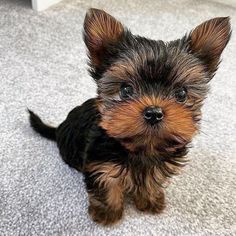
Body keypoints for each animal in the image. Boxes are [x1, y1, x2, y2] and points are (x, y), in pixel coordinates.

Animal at [28, 7, 231, 225]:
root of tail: (59, 127)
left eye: (181, 94)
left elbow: (152, 179)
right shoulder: (101, 163)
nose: (154, 113)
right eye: (126, 90)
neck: (142, 147)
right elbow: (107, 183)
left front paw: (149, 199)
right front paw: (107, 212)